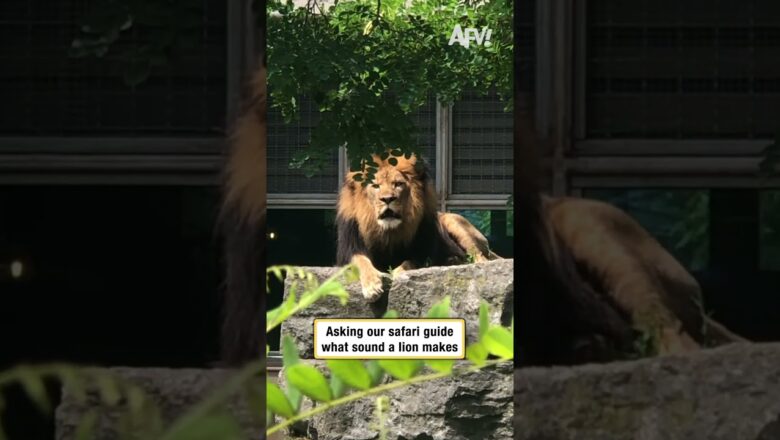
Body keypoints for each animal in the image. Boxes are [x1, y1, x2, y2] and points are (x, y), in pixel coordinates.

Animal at [336, 153, 500, 301]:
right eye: (376, 186)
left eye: (398, 184)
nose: (387, 199)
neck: (388, 232)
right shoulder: (350, 250)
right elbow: (361, 262)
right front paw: (372, 286)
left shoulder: (422, 253)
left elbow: (408, 263)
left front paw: (396, 274)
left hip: (454, 222)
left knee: (481, 257)